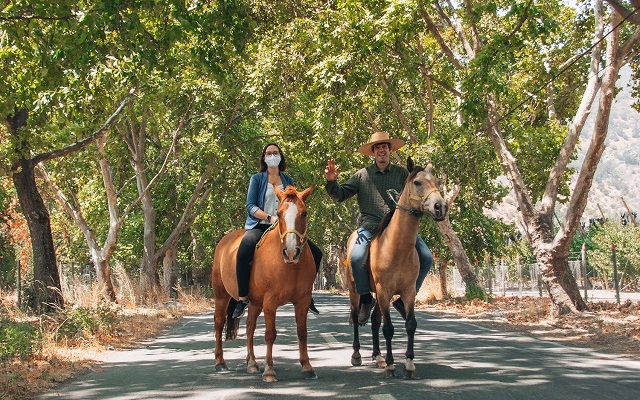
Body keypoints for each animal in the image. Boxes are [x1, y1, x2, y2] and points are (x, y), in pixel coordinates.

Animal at [212, 184, 318, 382]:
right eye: (279, 213)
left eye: (304, 213)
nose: (291, 252)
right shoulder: (270, 302)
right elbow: (270, 334)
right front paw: (269, 370)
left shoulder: (303, 300)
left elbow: (302, 331)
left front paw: (307, 366)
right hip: (221, 295)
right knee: (218, 323)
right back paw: (220, 362)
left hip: (255, 303)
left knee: (249, 327)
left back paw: (252, 363)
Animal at [344, 157, 444, 378]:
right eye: (417, 182)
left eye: (436, 181)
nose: (441, 207)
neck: (396, 247)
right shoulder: (383, 290)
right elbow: (388, 328)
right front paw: (391, 365)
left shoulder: (408, 291)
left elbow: (410, 324)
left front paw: (409, 364)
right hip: (355, 290)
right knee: (357, 316)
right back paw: (357, 355)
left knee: (374, 320)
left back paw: (378, 356)